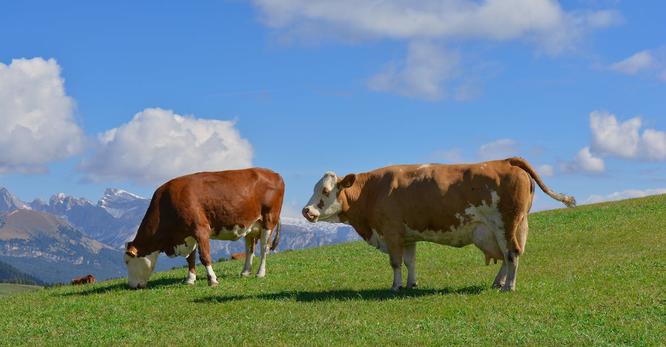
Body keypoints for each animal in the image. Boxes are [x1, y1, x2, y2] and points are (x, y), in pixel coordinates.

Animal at [124, 168, 282, 288]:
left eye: (127, 262)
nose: (131, 286)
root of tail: (273, 173)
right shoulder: (188, 234)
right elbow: (191, 259)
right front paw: (190, 280)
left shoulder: (200, 229)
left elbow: (204, 257)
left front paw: (212, 280)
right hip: (251, 225)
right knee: (250, 248)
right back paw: (245, 272)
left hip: (269, 220)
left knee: (264, 248)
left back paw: (260, 273)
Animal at [304, 159, 572, 292]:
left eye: (325, 191)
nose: (306, 211)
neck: (371, 191)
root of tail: (506, 160)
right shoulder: (407, 235)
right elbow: (410, 261)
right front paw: (411, 284)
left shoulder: (391, 232)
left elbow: (395, 263)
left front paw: (395, 286)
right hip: (507, 227)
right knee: (509, 256)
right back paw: (498, 283)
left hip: (505, 224)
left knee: (512, 253)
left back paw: (509, 287)